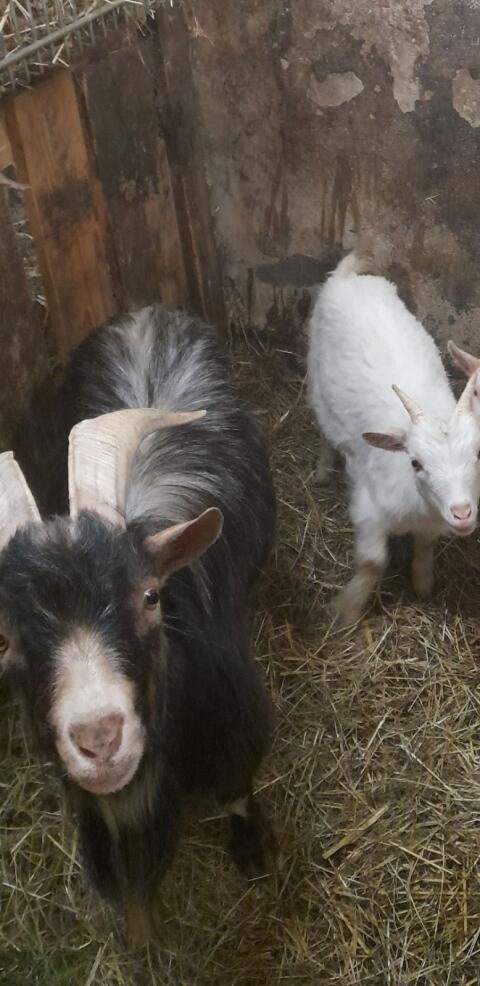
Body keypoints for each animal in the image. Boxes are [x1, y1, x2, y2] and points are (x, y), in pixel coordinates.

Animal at [0, 306, 276, 933]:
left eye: (150, 596)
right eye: (2, 638)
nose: (99, 738)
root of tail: (145, 313)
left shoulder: (237, 729)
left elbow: (238, 794)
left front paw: (255, 854)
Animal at [307, 253, 480, 626]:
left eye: (477, 455)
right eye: (415, 462)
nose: (462, 513)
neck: (421, 506)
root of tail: (346, 277)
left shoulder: (432, 522)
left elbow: (425, 546)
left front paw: (423, 582)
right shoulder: (368, 508)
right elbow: (373, 563)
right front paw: (345, 611)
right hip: (314, 375)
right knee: (325, 428)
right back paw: (323, 469)